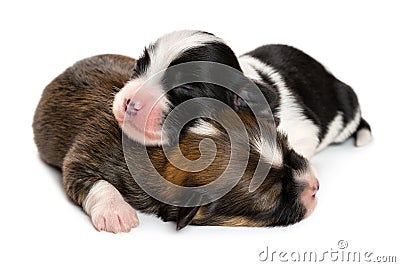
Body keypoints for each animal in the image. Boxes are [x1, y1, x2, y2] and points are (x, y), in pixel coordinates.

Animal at [32, 54, 318, 232]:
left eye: (286, 146)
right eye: (274, 197)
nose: (315, 185)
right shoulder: (86, 154)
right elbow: (92, 181)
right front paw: (117, 213)